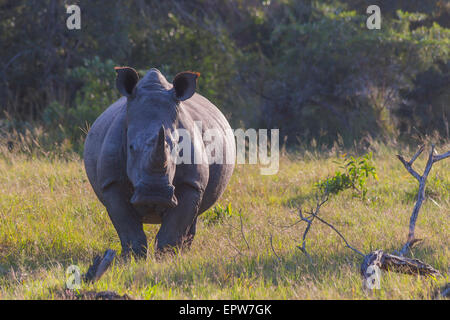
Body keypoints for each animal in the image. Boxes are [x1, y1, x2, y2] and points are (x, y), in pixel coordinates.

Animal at [83, 67, 236, 258]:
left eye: (178, 147)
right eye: (131, 147)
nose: (154, 193)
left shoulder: (192, 183)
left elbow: (175, 225)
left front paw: (167, 257)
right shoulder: (111, 182)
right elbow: (127, 226)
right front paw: (133, 258)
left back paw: (185, 252)